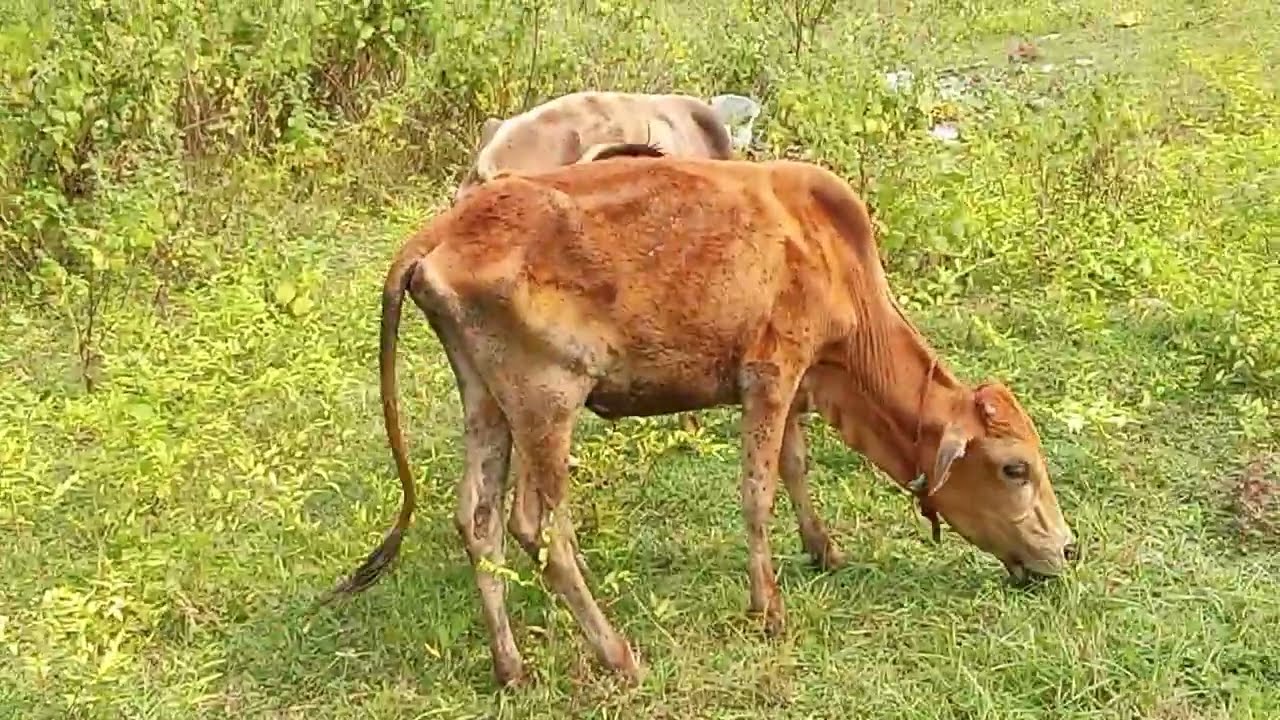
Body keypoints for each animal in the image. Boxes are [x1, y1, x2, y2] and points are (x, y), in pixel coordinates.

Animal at [329, 152, 1078, 687]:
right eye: (1014, 468)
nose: (1068, 549)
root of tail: (441, 231)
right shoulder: (772, 372)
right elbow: (758, 492)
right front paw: (768, 609)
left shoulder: (795, 383)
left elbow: (795, 466)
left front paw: (824, 550)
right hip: (547, 401)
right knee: (538, 528)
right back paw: (617, 656)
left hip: (485, 402)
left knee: (477, 521)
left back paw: (511, 668)